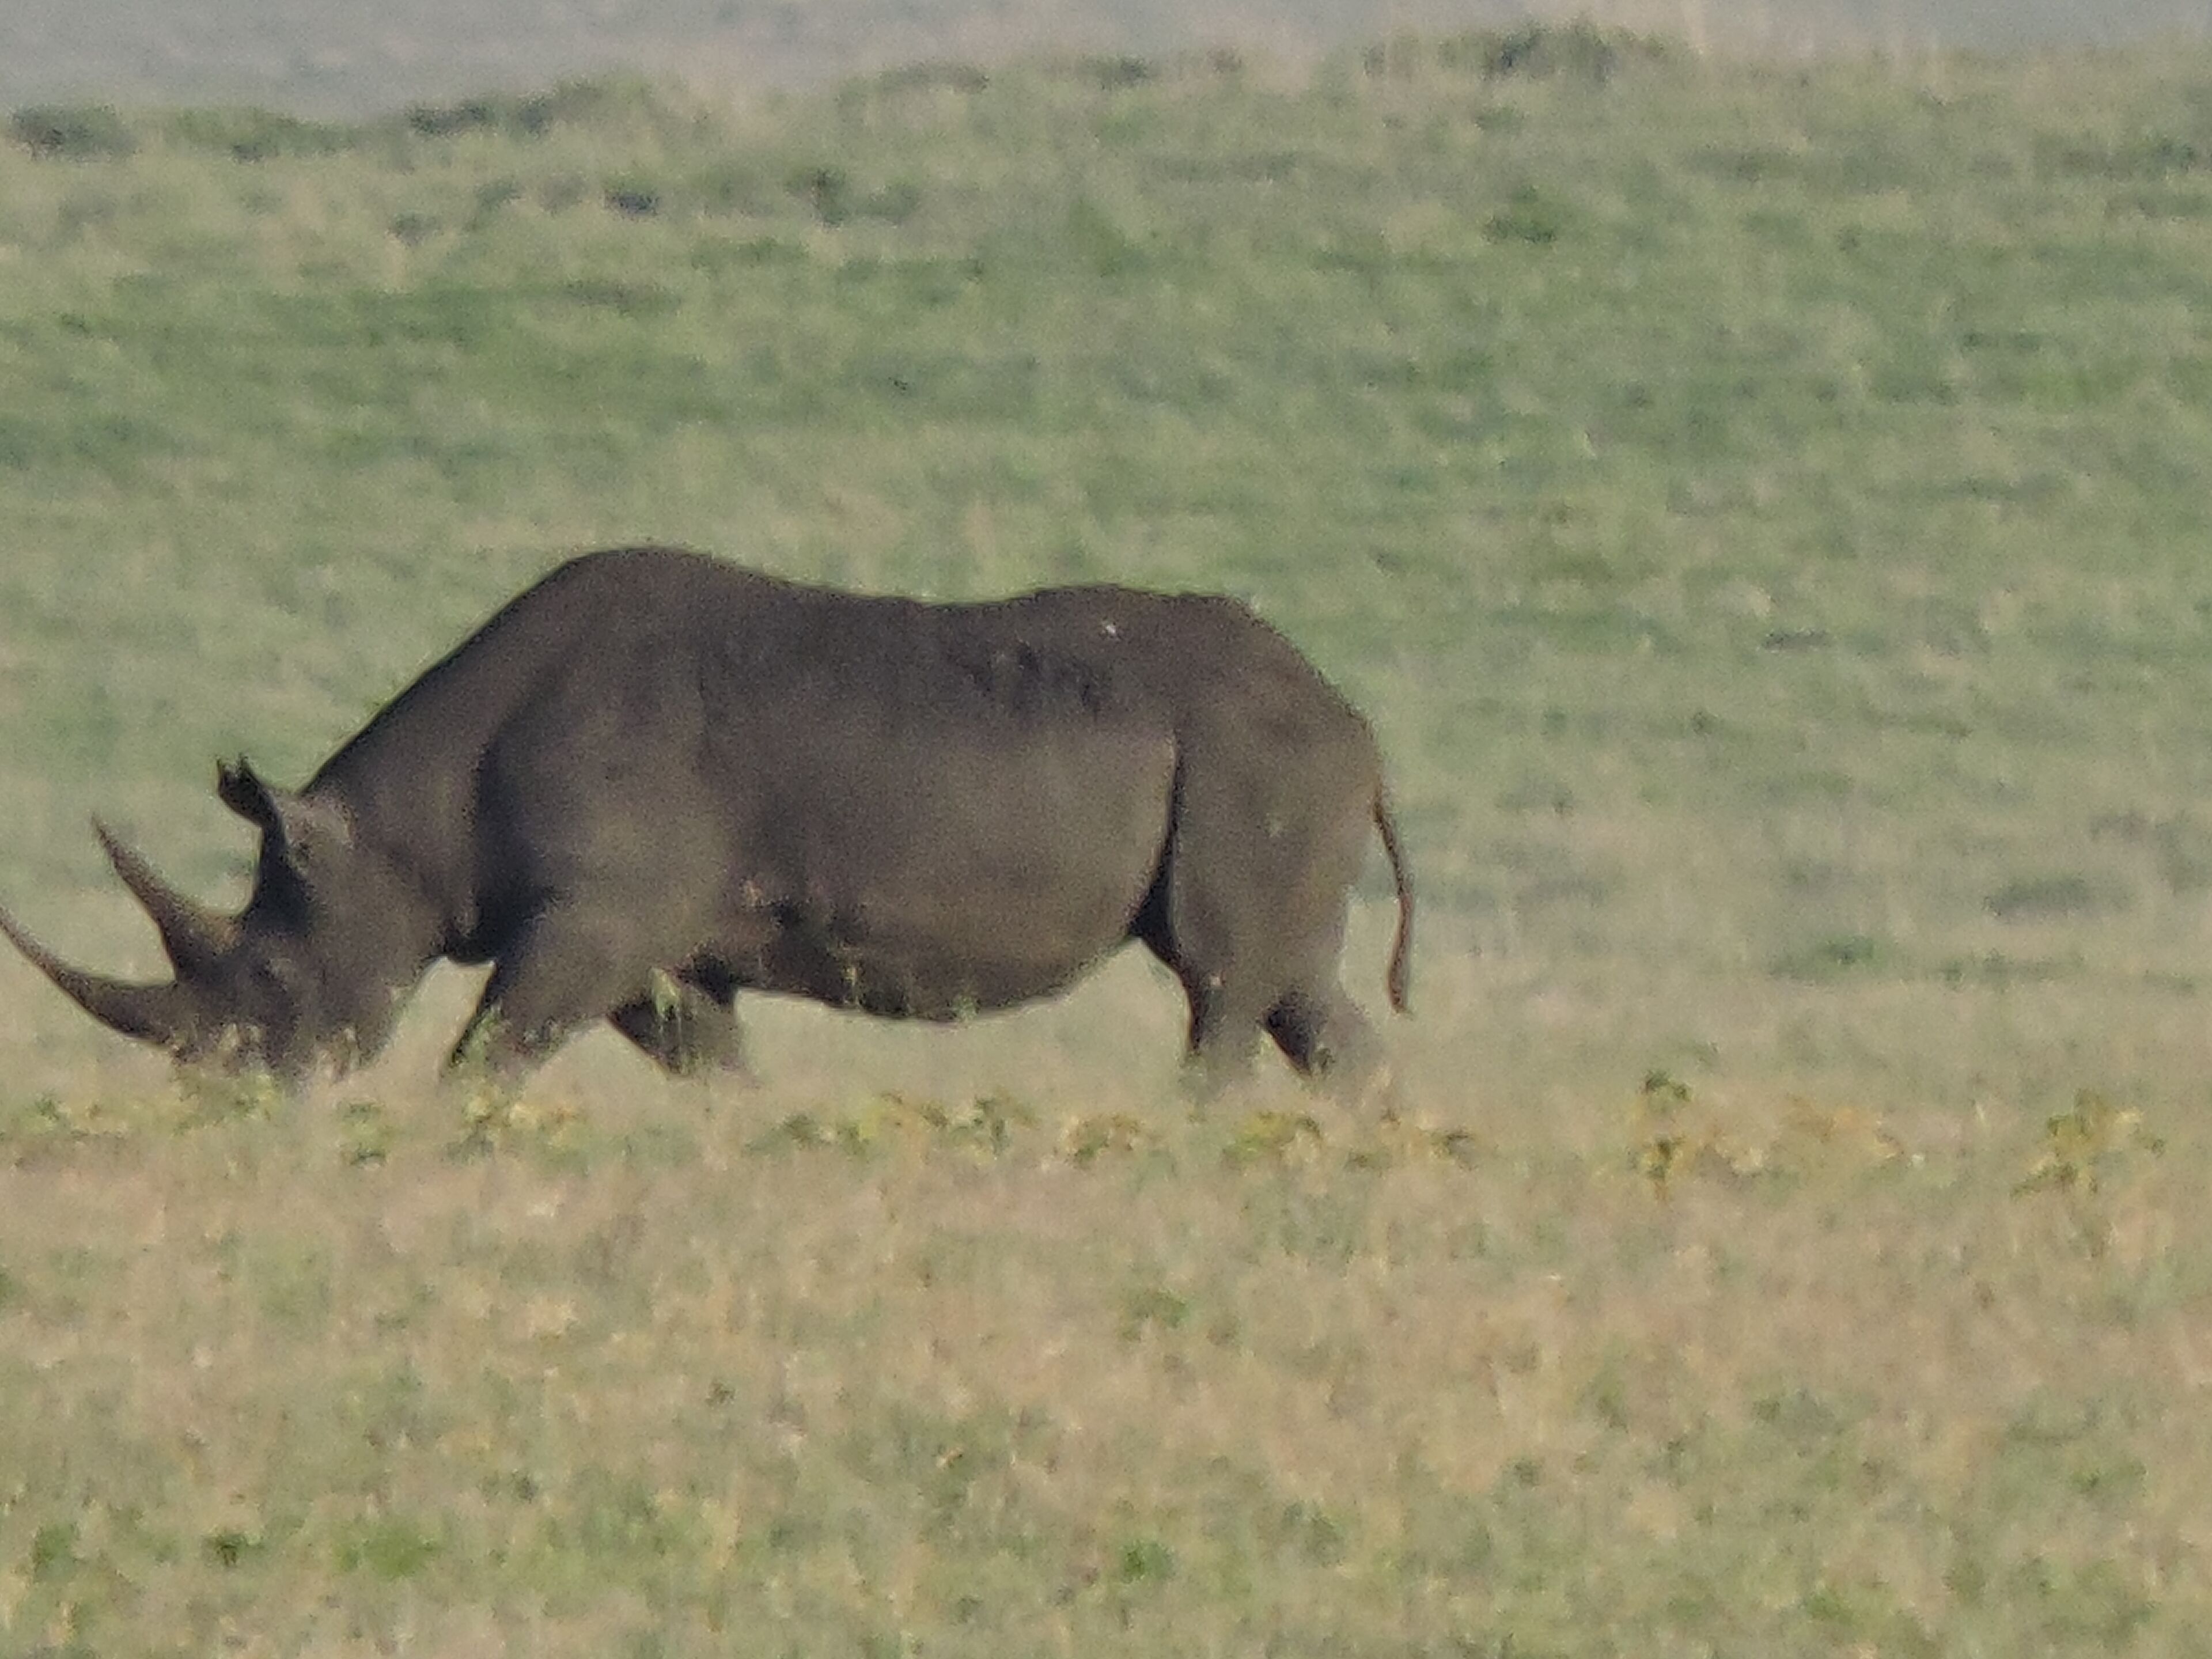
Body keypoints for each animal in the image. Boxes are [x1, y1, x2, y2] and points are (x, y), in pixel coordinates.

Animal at [0, 546, 1412, 1090]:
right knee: (1297, 992)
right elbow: (705, 1059)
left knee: (1223, 986)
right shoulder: (642, 935)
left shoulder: (595, 914)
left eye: (274, 981)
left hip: (1254, 765)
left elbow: (490, 1053)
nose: (232, 1097)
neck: (398, 832)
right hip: (1266, 771)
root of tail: (1358, 725)